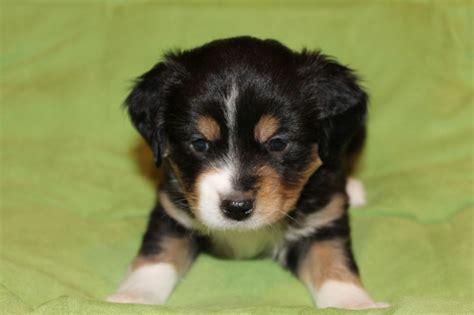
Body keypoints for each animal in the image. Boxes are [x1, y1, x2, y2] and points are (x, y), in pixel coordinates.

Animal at [106, 35, 386, 310]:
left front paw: (352, 304)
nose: (237, 207)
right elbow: (156, 255)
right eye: (199, 143)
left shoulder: (323, 222)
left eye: (277, 143)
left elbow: (333, 263)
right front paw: (134, 297)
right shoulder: (172, 212)